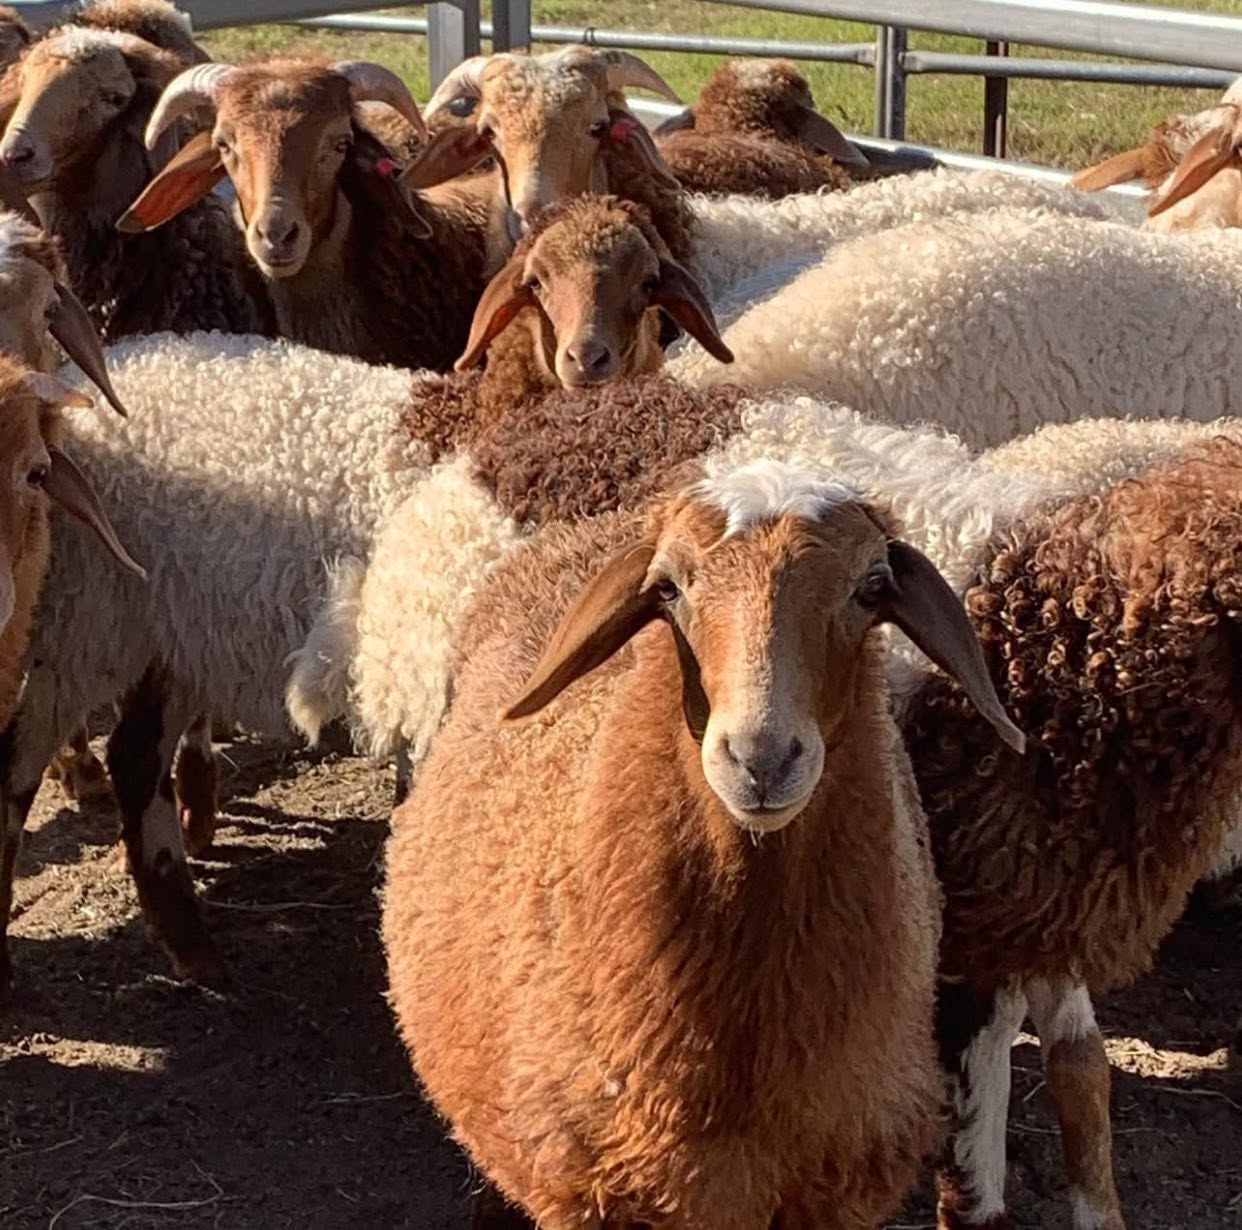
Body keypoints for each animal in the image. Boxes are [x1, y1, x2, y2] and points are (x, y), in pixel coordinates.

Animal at [0, 194, 736, 991]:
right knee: (22, 765)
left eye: (647, 283)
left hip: (173, 626)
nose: (589, 361)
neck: (477, 419)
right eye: (536, 284)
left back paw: (195, 951)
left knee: (136, 756)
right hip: (82, 621)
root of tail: (111, 370)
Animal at [383, 458, 1024, 1230]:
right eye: (668, 589)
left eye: (873, 588)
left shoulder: (832, 1195)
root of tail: (591, 525)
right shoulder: (592, 1193)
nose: (762, 759)